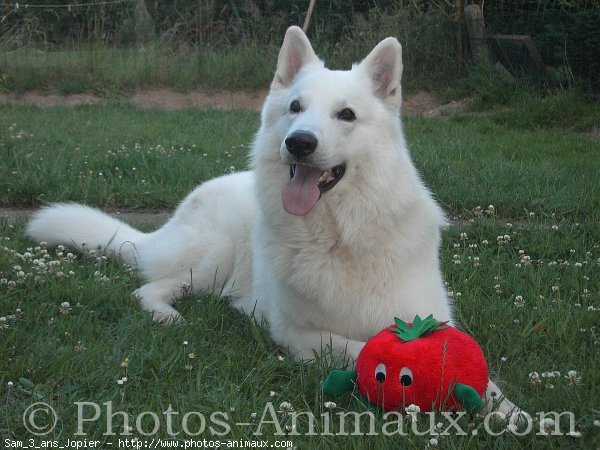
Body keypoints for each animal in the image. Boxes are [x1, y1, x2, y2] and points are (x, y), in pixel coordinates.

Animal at [27, 27, 516, 414]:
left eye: (346, 114)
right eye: (295, 107)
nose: (298, 143)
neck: (339, 237)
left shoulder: (429, 314)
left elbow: (478, 375)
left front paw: (509, 412)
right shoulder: (299, 332)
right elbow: (362, 351)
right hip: (212, 259)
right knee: (149, 287)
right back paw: (167, 316)